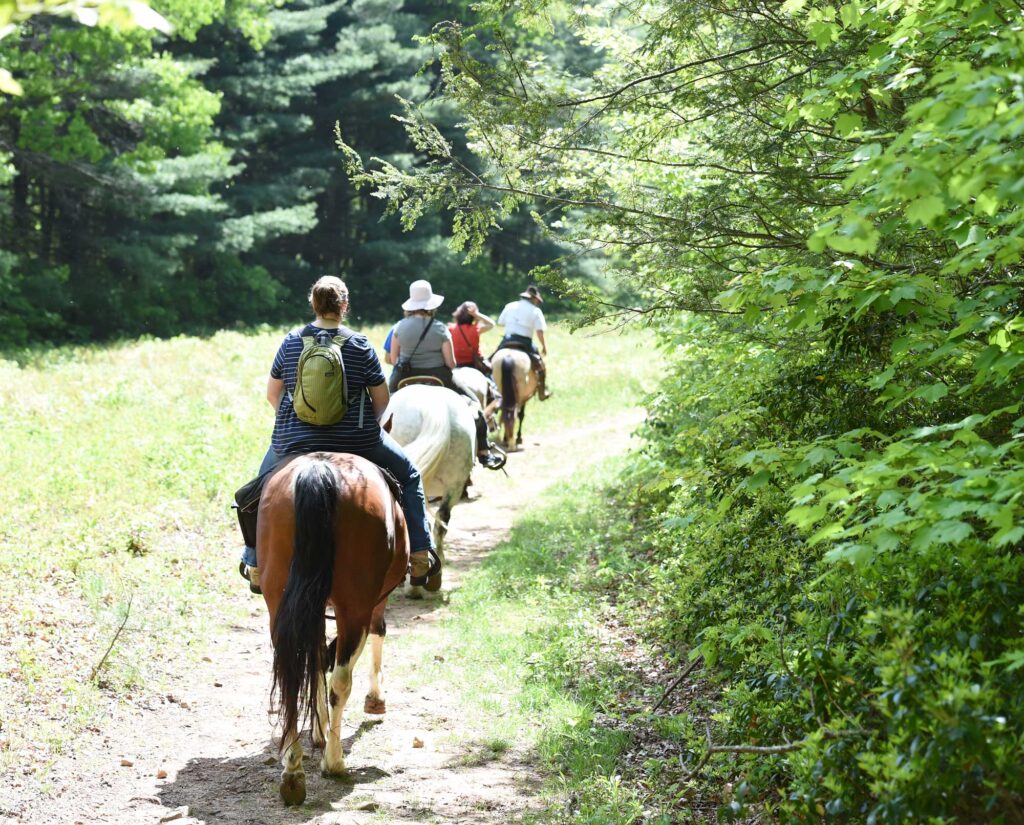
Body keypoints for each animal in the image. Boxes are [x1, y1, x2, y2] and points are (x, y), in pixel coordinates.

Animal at [254, 452, 407, 806]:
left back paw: (293, 771)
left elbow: (314, 663)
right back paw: (334, 764)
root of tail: (319, 470)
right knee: (340, 680)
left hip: (279, 600)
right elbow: (377, 632)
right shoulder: (376, 601)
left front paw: (318, 730)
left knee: (292, 673)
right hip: (355, 604)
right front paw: (375, 699)